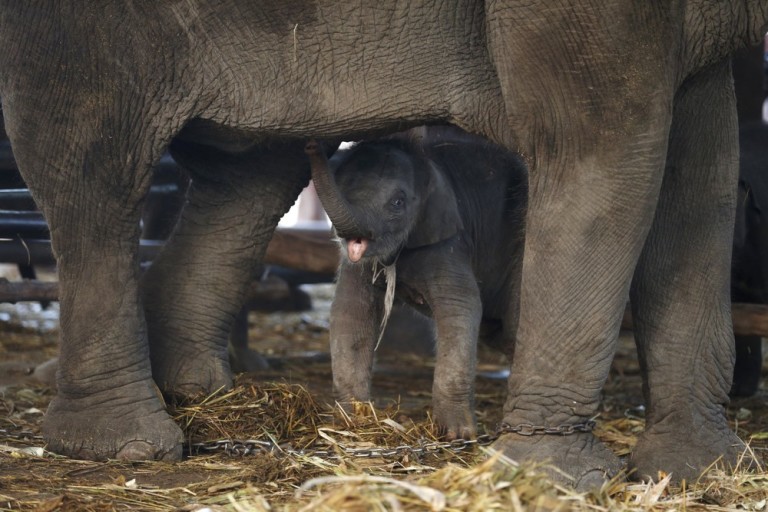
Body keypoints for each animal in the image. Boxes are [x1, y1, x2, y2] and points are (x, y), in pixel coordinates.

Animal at [306, 127, 528, 440]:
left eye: (398, 203)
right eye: (344, 187)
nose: (311, 145)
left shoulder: (448, 241)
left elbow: (461, 306)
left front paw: (457, 434)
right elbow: (350, 311)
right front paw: (351, 421)